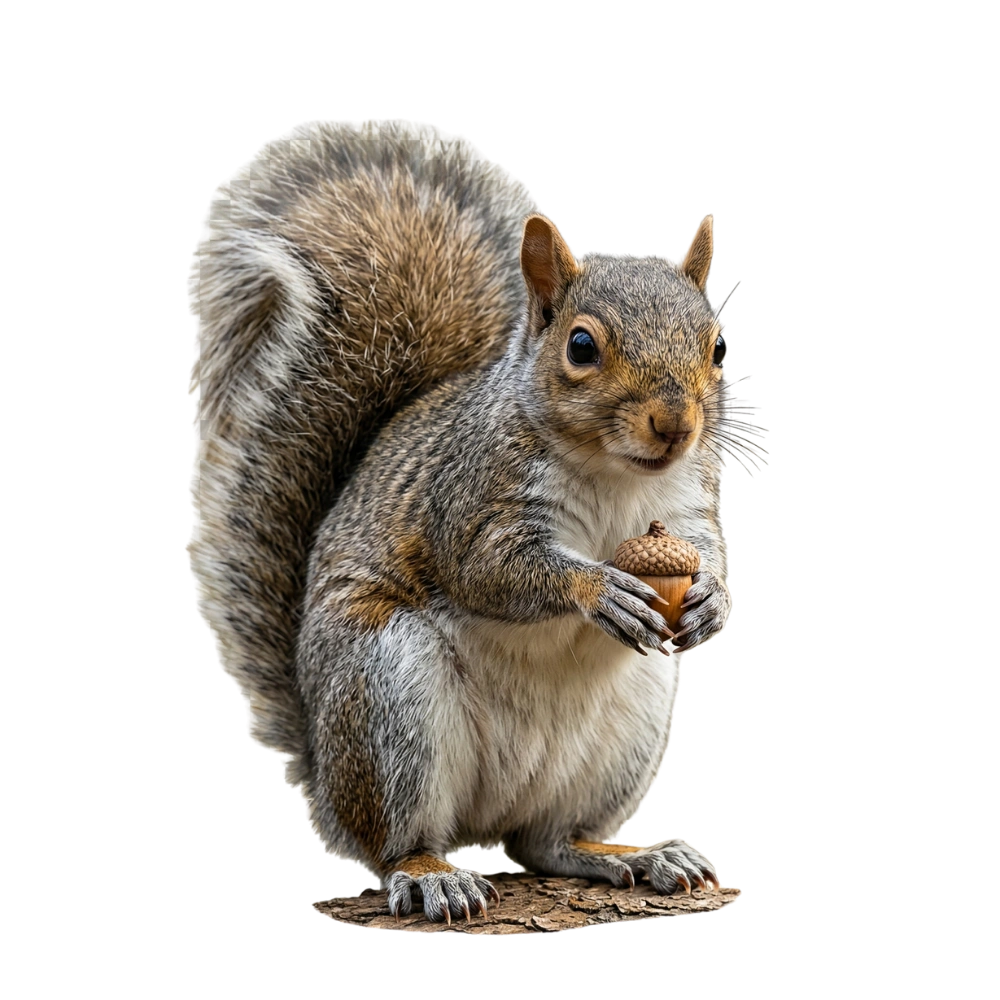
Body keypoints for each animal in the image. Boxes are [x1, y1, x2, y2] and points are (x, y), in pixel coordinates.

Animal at [188, 119, 734, 923]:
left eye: (715, 346)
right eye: (580, 346)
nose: (676, 425)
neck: (615, 476)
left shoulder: (687, 503)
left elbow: (708, 553)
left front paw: (710, 602)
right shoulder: (472, 497)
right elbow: (489, 569)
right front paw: (597, 589)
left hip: (628, 727)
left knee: (545, 843)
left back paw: (632, 853)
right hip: (386, 698)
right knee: (394, 842)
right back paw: (431, 873)